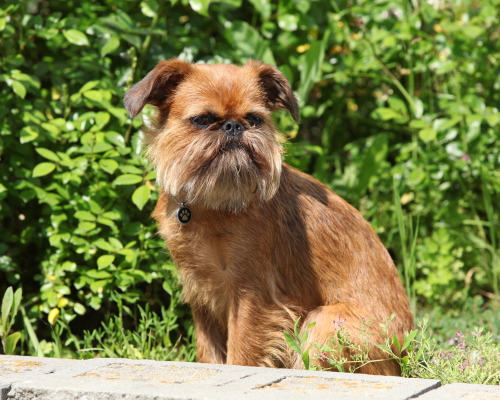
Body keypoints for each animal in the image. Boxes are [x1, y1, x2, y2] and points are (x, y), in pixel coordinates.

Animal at [124, 59, 413, 375]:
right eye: (201, 120)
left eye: (255, 119)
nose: (233, 125)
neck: (210, 203)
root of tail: (406, 351)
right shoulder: (200, 293)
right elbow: (208, 352)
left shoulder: (250, 295)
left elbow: (240, 354)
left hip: (323, 324)